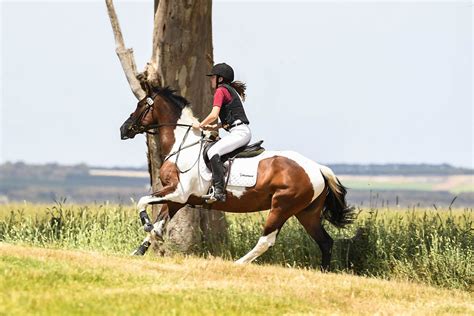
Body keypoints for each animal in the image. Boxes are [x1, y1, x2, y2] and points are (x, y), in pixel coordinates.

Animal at [120, 82, 354, 270]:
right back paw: (323, 270)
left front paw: (145, 223)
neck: (183, 146)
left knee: (267, 240)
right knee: (325, 242)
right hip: (307, 213)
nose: (124, 129)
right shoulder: (178, 199)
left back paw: (239, 263)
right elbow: (158, 224)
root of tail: (317, 168)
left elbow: (143, 202)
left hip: (282, 206)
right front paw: (138, 251)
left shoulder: (179, 192)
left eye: (141, 105)